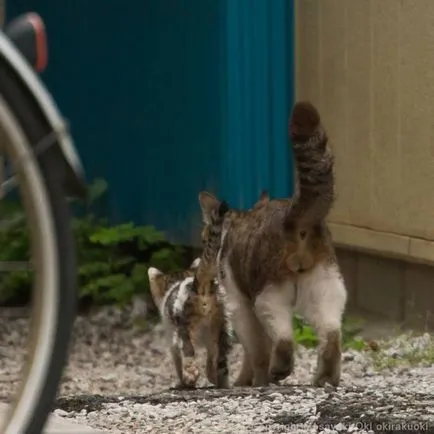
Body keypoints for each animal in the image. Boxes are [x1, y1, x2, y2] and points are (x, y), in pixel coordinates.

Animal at [148, 258, 232, 386]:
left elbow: (177, 362)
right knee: (220, 357)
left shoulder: (171, 338)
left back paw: (189, 377)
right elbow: (211, 354)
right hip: (222, 324)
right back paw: (220, 382)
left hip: (182, 327)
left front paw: (182, 382)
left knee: (187, 351)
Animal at [195, 101, 348, 386]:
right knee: (331, 334)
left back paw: (280, 370)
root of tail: (295, 219)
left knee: (285, 339)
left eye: (203, 239)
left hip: (269, 296)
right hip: (326, 289)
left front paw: (254, 381)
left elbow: (256, 351)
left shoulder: (239, 305)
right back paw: (324, 378)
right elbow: (255, 350)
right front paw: (249, 379)